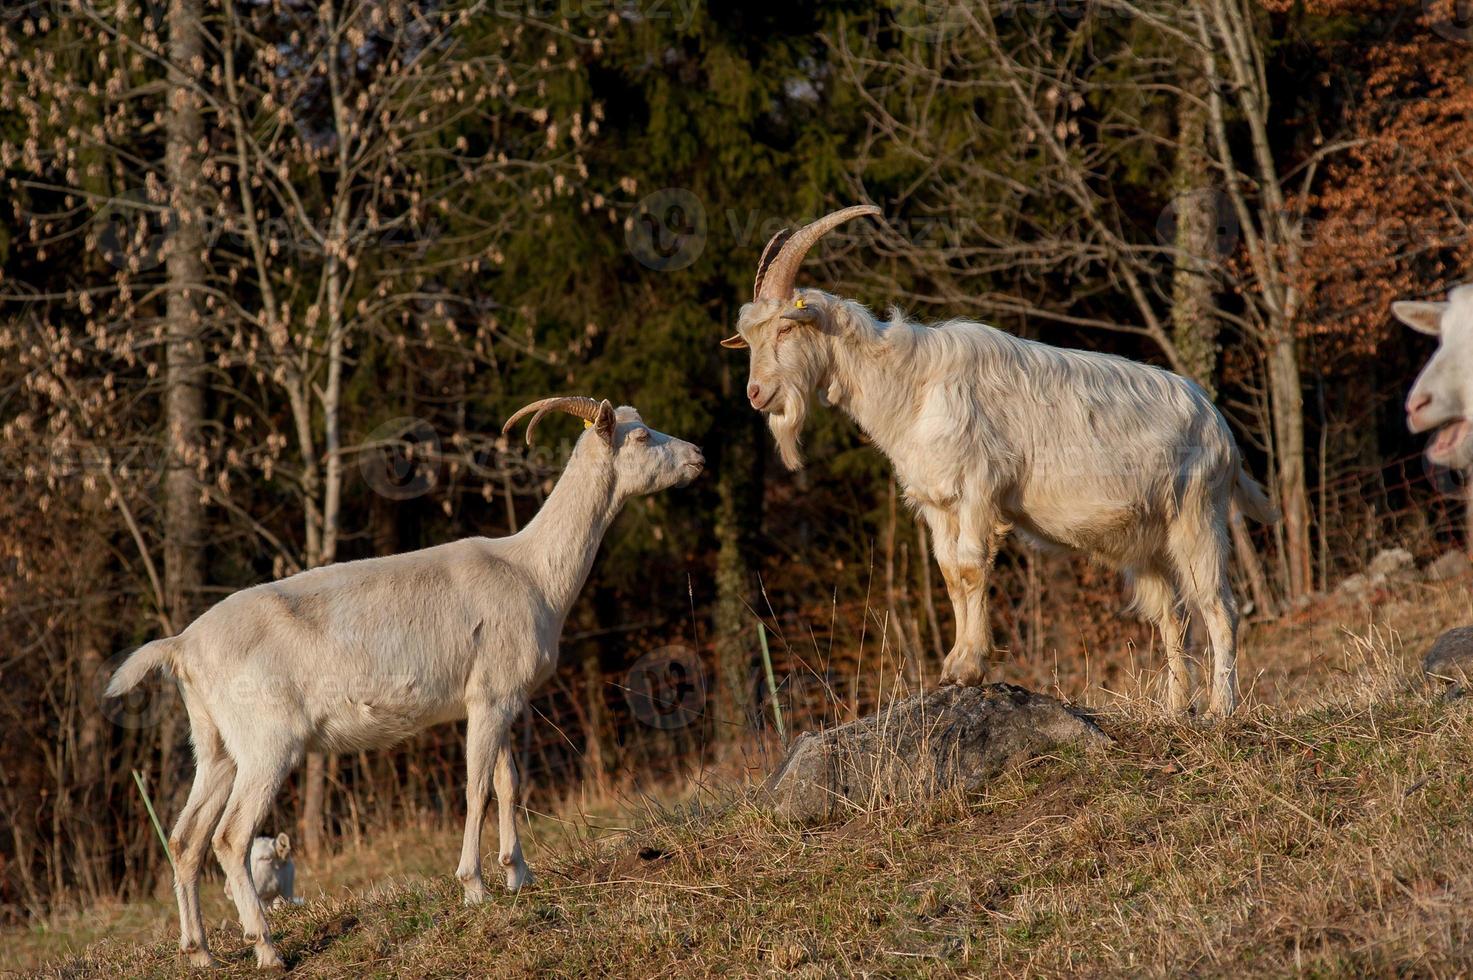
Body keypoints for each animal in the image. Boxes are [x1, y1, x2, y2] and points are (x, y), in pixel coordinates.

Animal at [103, 394, 701, 972]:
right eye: (640, 436)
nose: (697, 455)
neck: (533, 573)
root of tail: (182, 647)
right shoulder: (488, 697)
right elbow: (477, 788)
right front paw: (475, 888)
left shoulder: (501, 697)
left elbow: (508, 783)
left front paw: (519, 875)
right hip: (268, 742)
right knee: (230, 837)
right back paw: (267, 949)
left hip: (216, 745)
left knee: (185, 839)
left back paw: (200, 952)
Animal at [724, 206, 1278, 716]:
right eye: (749, 338)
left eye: (785, 331)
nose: (755, 394)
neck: (912, 383)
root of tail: (1220, 427)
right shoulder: (938, 503)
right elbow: (950, 574)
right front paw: (952, 665)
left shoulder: (978, 490)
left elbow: (972, 568)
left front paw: (969, 667)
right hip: (1146, 541)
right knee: (1171, 615)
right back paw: (1174, 711)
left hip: (1197, 515)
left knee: (1219, 607)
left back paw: (1220, 710)